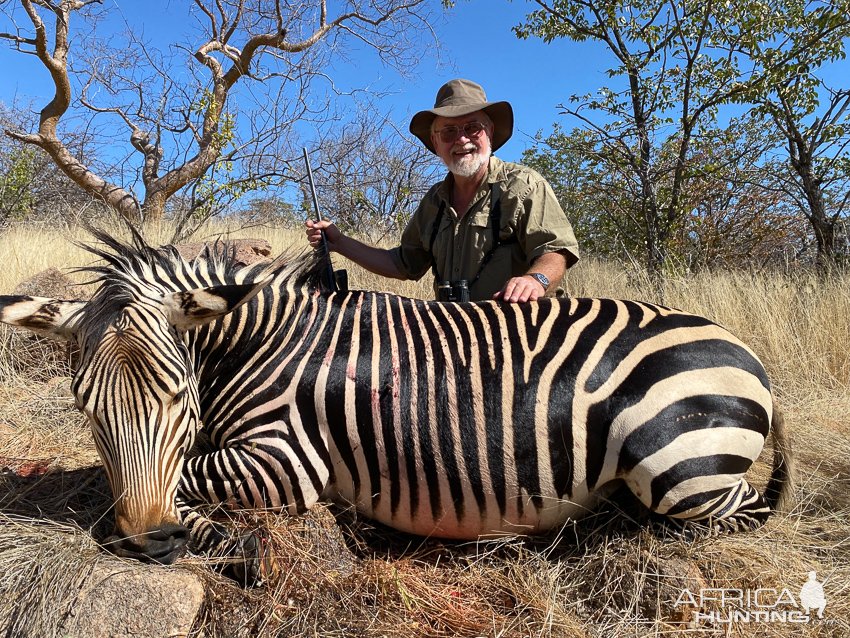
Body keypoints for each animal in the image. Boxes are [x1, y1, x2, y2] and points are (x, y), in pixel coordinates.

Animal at [0, 229, 792, 580]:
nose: (148, 542)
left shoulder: (288, 460)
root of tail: (747, 350)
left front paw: (228, 539)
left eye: (177, 394)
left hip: (680, 469)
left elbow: (190, 478)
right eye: (84, 407)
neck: (255, 345)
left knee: (738, 512)